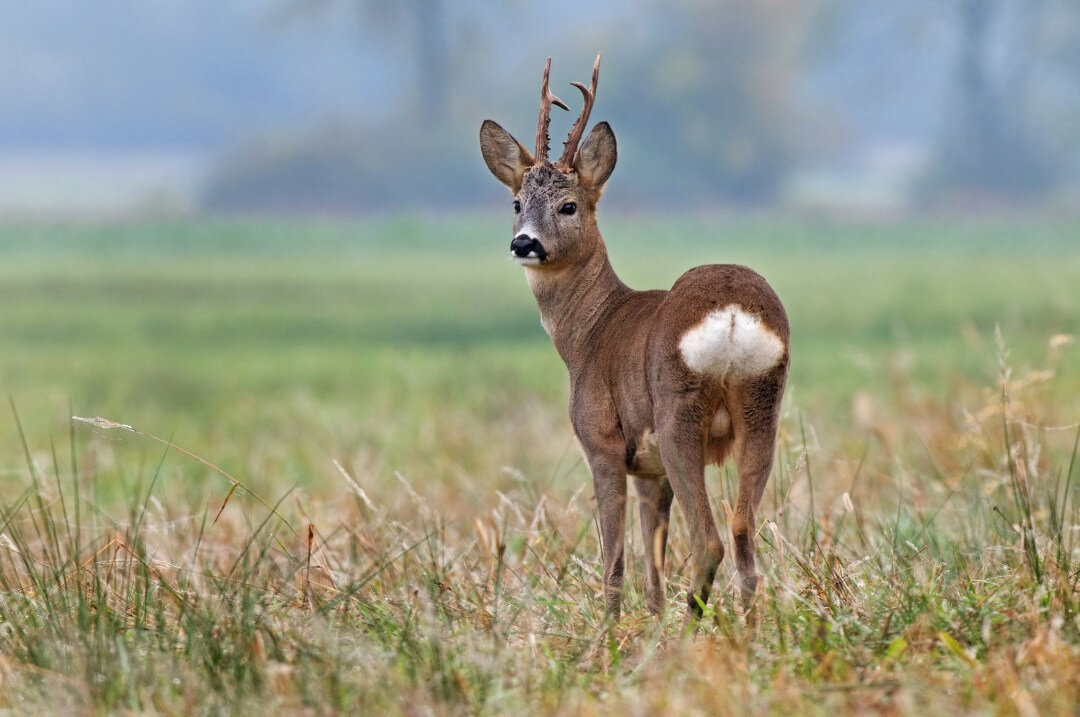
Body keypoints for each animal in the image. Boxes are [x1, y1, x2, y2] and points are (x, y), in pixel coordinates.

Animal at [477, 56, 790, 626]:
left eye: (569, 206)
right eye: (515, 202)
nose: (524, 243)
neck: (590, 332)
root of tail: (734, 313)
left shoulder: (602, 443)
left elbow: (615, 561)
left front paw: (610, 633)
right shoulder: (649, 470)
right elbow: (653, 569)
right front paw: (651, 627)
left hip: (677, 414)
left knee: (710, 540)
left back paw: (693, 631)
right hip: (763, 409)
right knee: (743, 534)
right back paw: (750, 634)